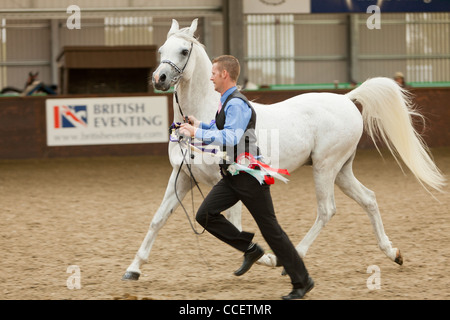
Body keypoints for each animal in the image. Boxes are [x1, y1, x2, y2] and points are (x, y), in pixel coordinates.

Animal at [121, 19, 444, 280]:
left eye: (183, 52)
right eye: (162, 50)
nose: (159, 79)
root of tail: (347, 98)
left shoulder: (224, 181)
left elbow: (235, 225)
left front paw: (264, 258)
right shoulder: (183, 178)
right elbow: (158, 219)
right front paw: (133, 269)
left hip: (326, 167)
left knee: (327, 210)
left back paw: (293, 257)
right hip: (341, 170)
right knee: (369, 199)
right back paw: (393, 252)